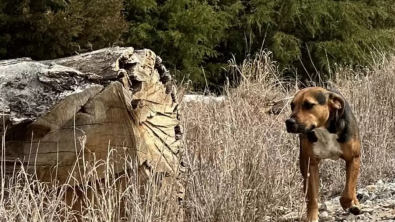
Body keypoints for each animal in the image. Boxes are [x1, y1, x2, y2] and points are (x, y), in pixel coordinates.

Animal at [284, 87, 362, 222]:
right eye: (292, 106)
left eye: (309, 105)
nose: (289, 122)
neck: (324, 130)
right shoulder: (310, 165)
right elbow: (312, 197)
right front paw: (312, 217)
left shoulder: (353, 159)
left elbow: (348, 190)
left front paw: (348, 204)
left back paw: (355, 204)